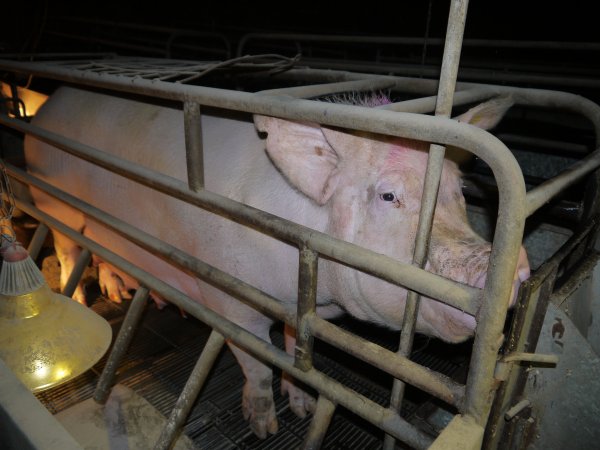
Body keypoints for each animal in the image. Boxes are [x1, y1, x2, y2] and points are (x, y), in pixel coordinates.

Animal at [24, 86, 528, 438]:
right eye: (388, 196)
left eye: (459, 191)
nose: (515, 267)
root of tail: (49, 104)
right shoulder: (230, 301)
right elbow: (257, 365)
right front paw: (264, 427)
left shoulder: (304, 305)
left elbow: (290, 348)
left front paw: (303, 407)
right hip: (53, 200)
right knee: (69, 253)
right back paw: (86, 304)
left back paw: (126, 293)